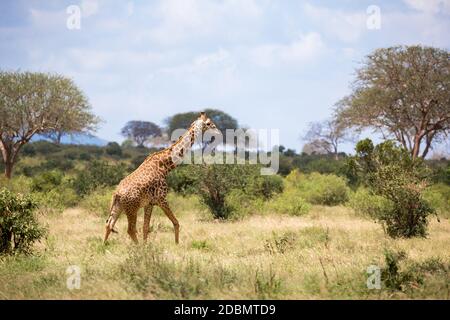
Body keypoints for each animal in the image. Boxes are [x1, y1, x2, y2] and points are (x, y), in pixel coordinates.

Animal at [104, 112, 220, 245]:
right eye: (209, 123)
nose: (218, 133)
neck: (165, 166)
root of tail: (116, 193)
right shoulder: (161, 199)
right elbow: (176, 222)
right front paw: (176, 245)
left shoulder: (149, 203)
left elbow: (145, 227)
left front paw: (146, 246)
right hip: (132, 208)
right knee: (130, 229)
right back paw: (137, 248)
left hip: (118, 207)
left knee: (109, 224)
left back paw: (103, 245)